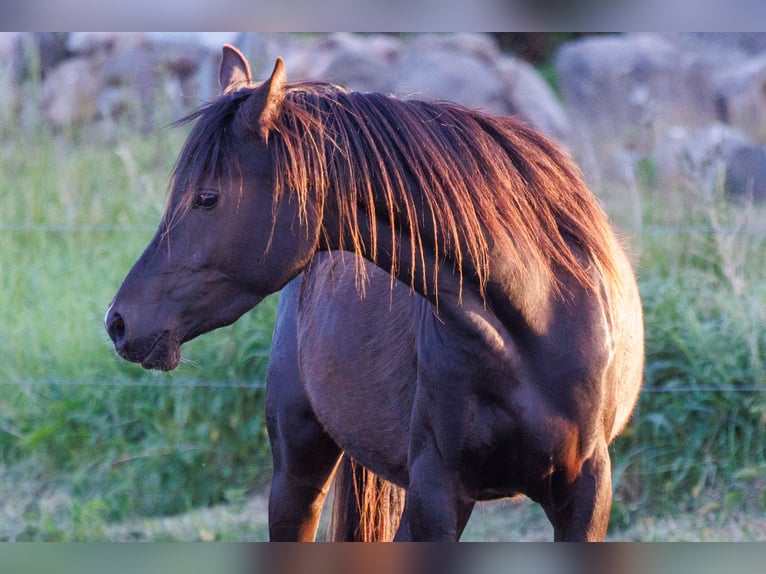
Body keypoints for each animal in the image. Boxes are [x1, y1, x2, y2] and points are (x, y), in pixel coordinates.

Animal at [105, 44, 644, 541]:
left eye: (207, 198)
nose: (118, 322)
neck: (535, 322)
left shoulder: (586, 498)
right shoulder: (436, 496)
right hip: (298, 474)